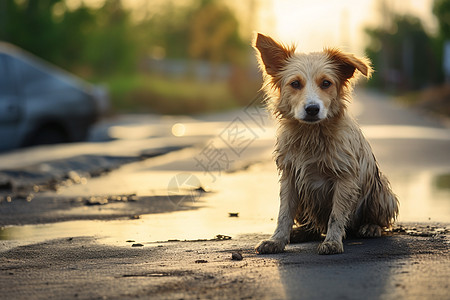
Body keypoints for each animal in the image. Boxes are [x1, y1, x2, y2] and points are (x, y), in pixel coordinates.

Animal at [255, 33, 400, 255]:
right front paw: (277, 240)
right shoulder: (290, 177)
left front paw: (332, 242)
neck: (311, 135)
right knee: (313, 226)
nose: (312, 109)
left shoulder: (345, 178)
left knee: (379, 221)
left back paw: (370, 227)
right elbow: (284, 213)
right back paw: (301, 232)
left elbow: (336, 215)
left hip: (381, 191)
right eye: (295, 84)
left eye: (326, 83)